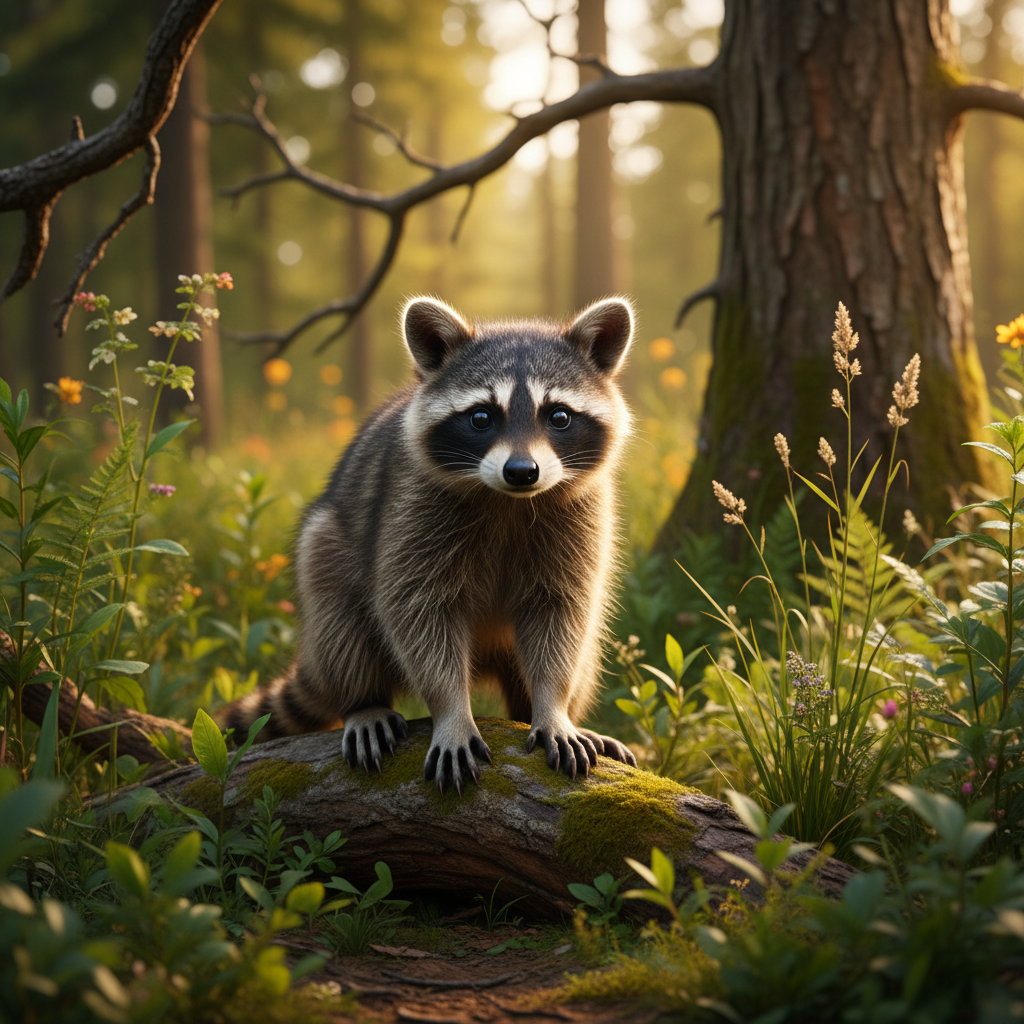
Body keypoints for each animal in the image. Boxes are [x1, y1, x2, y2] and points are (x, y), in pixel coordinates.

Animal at [221, 295, 638, 793]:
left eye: (558, 416)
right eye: (481, 417)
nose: (522, 472)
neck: (509, 501)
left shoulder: (581, 517)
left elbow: (562, 613)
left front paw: (554, 706)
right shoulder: (411, 510)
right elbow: (417, 612)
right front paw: (451, 711)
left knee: (586, 642)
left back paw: (551, 711)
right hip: (329, 546)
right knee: (337, 611)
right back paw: (362, 700)